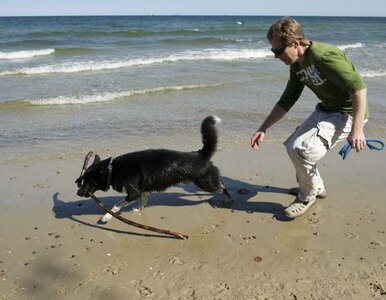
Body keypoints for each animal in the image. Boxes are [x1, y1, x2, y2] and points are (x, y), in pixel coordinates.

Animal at [75, 116, 232, 224]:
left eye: (88, 182)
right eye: (82, 180)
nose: (78, 193)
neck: (112, 169)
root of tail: (201, 154)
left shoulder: (133, 193)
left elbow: (116, 205)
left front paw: (106, 217)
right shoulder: (142, 190)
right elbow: (144, 200)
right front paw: (139, 209)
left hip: (205, 183)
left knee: (222, 187)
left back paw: (228, 200)